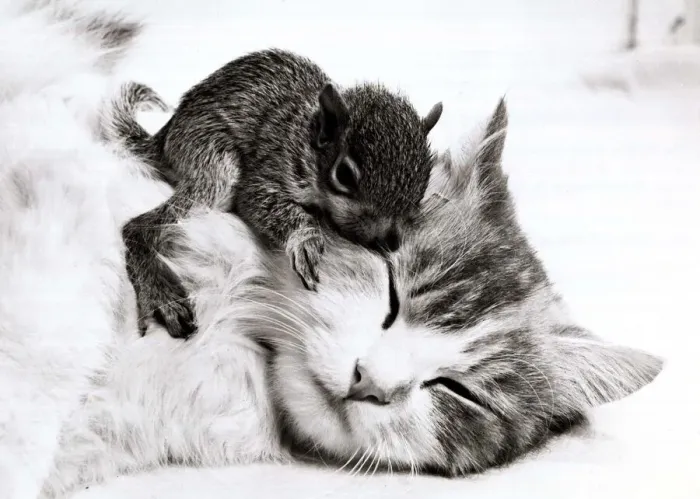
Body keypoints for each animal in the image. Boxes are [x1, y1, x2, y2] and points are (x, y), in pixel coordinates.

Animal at [103, 49, 443, 340]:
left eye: (424, 180)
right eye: (344, 175)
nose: (388, 241)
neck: (306, 137)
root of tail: (164, 139)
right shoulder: (271, 166)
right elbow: (260, 202)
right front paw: (305, 239)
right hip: (212, 162)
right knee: (138, 227)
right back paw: (161, 297)